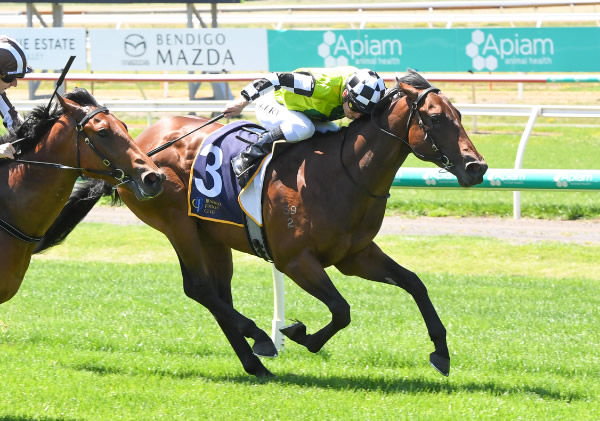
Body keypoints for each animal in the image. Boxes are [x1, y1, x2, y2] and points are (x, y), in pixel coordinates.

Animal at [39, 70, 488, 376]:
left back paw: (254, 359)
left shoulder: (355, 254)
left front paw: (441, 352)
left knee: (218, 293)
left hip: (211, 234)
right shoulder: (296, 260)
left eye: (458, 114)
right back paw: (259, 339)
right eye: (434, 118)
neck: (344, 173)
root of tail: (140, 150)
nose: (477, 167)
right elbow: (341, 309)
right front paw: (298, 334)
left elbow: (414, 283)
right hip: (176, 223)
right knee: (199, 288)